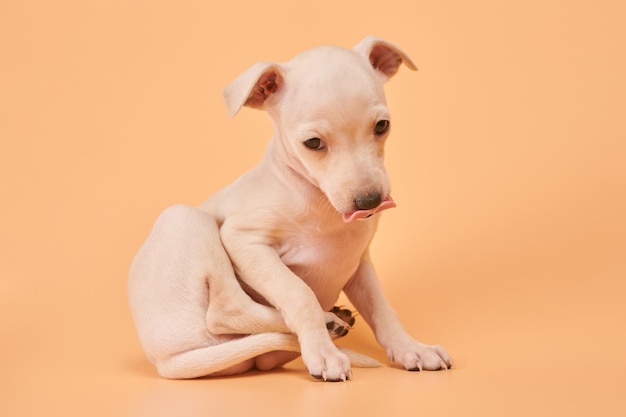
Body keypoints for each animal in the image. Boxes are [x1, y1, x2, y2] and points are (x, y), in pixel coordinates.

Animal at [128, 35, 448, 380]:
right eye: (313, 143)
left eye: (382, 126)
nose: (369, 203)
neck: (319, 203)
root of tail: (166, 359)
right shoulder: (244, 240)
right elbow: (298, 292)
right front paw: (323, 353)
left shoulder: (359, 264)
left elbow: (383, 310)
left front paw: (411, 348)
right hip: (185, 218)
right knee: (225, 310)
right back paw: (327, 323)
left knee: (266, 354)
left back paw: (334, 319)